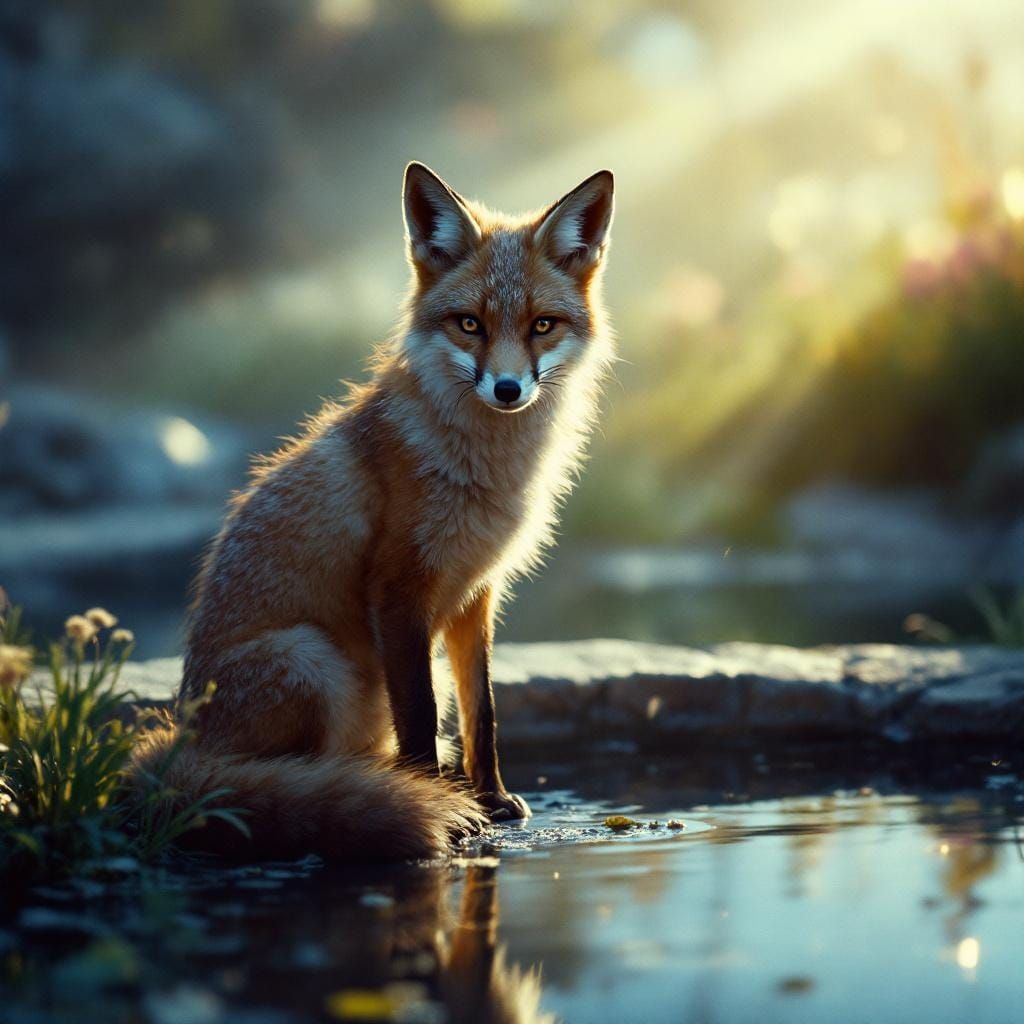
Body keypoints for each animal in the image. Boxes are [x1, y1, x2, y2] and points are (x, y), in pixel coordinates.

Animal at [132, 161, 615, 860]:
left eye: (542, 326)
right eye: (469, 324)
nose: (507, 389)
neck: (483, 471)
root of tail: (183, 749)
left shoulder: (476, 594)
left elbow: (483, 710)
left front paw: (492, 799)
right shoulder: (397, 588)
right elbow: (420, 712)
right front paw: (440, 804)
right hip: (311, 659)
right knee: (300, 773)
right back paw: (371, 792)